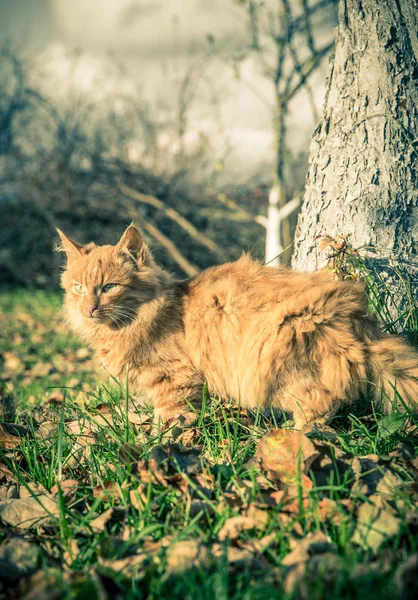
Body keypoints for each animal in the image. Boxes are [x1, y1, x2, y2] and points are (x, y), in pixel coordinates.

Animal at [57, 224, 418, 426]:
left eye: (109, 287)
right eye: (78, 288)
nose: (89, 308)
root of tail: (354, 313)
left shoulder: (175, 381)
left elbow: (171, 419)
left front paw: (160, 446)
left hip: (274, 361)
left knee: (320, 404)